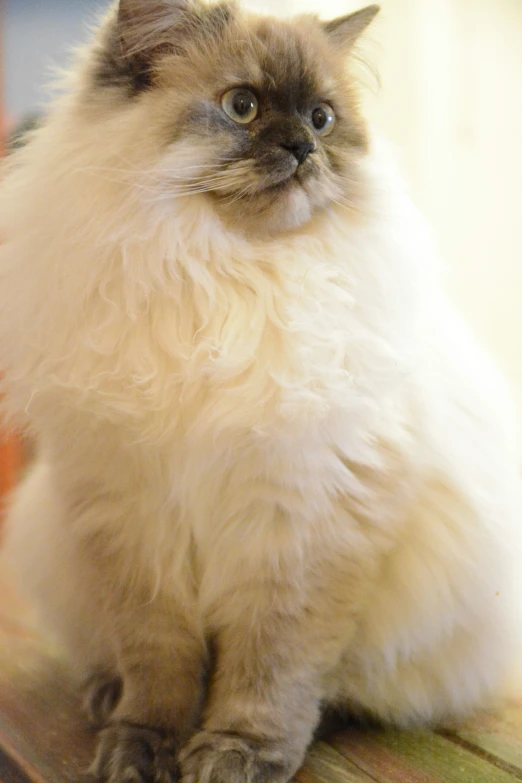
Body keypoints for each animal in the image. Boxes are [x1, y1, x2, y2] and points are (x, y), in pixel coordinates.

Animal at [1, 0, 520, 780]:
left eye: (323, 118)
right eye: (242, 107)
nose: (303, 148)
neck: (223, 277)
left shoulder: (302, 522)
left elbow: (270, 667)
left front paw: (237, 752)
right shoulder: (134, 517)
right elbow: (159, 664)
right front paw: (141, 746)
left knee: (346, 687)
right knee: (116, 659)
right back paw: (103, 696)